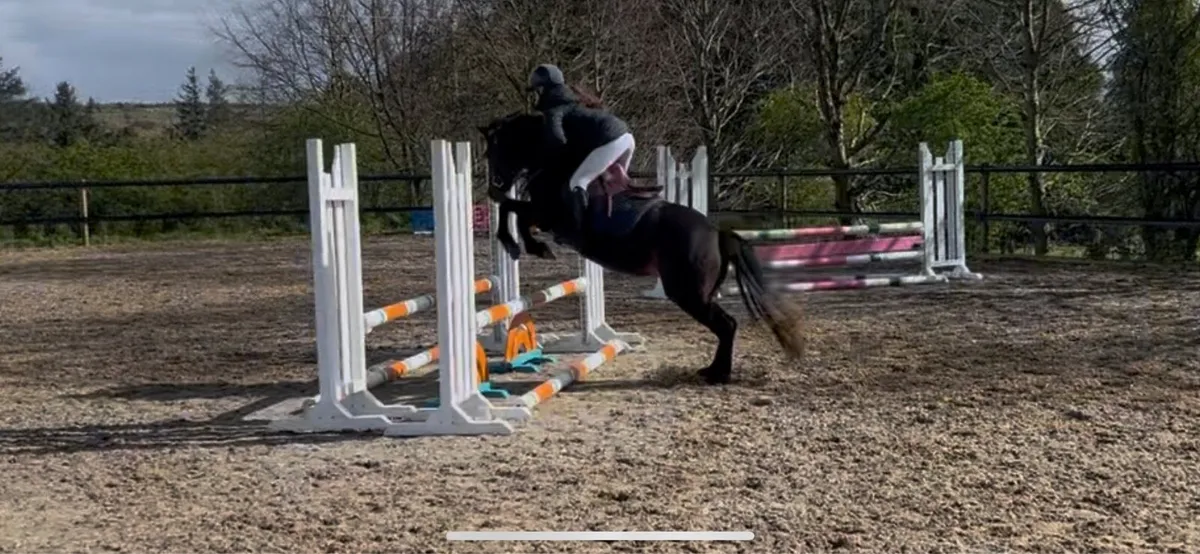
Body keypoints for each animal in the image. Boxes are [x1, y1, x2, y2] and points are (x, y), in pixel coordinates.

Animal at [477, 111, 807, 385]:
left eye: (496, 150)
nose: (494, 185)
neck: (554, 164)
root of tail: (716, 233)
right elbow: (511, 209)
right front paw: (523, 244)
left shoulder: (549, 216)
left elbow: (512, 210)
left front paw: (525, 246)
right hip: (698, 293)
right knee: (726, 325)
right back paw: (713, 370)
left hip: (687, 293)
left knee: (726, 324)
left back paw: (717, 375)